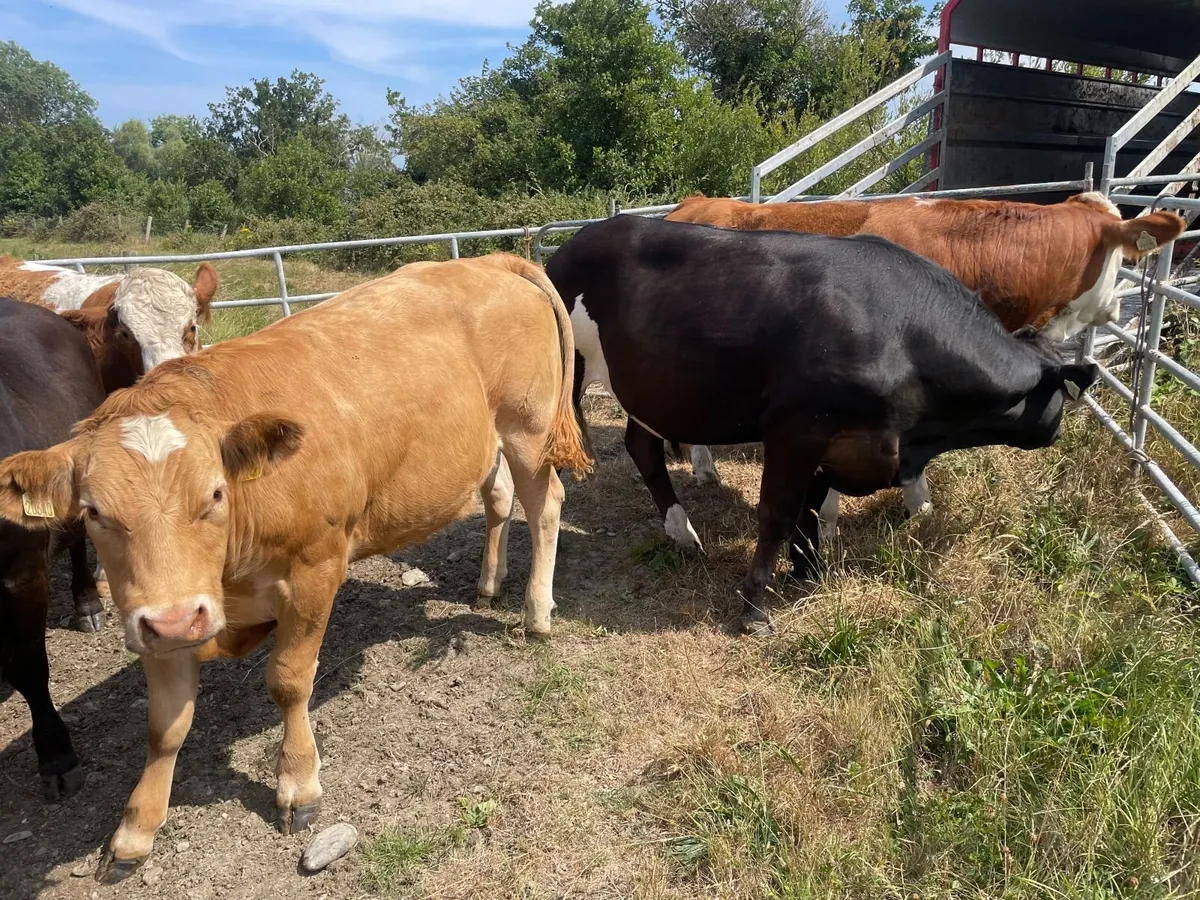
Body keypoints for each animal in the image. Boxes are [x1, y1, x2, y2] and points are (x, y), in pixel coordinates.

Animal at [0, 253, 589, 882]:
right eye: (93, 512)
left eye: (215, 494)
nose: (179, 620)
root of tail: (488, 259)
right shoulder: (161, 612)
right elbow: (164, 726)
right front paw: (135, 830)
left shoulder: (314, 569)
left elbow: (288, 680)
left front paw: (298, 785)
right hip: (486, 443)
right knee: (498, 497)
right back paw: (487, 584)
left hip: (528, 430)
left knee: (545, 504)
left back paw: (536, 612)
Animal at [544, 215, 1096, 635]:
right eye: (1066, 396)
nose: (1059, 431)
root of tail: (574, 241)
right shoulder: (798, 429)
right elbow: (778, 514)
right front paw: (755, 610)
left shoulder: (839, 442)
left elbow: (810, 508)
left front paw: (809, 573)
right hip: (569, 375)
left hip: (652, 390)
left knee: (642, 444)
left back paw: (682, 532)